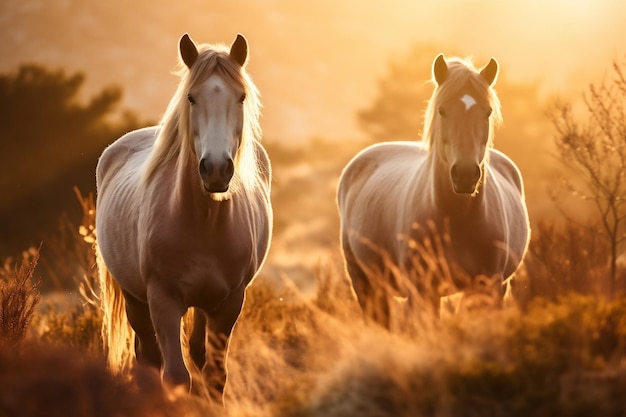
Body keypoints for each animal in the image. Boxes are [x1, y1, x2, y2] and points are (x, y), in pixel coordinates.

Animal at [95, 33, 270, 400]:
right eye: (191, 97)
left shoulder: (228, 303)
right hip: (134, 298)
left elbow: (214, 375)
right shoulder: (163, 300)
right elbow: (175, 376)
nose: (216, 169)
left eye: (241, 97)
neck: (203, 223)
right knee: (148, 358)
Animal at [336, 52, 528, 324]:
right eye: (442, 110)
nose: (465, 174)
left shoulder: (487, 287)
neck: (457, 218)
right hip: (365, 283)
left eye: (488, 111)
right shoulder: (422, 289)